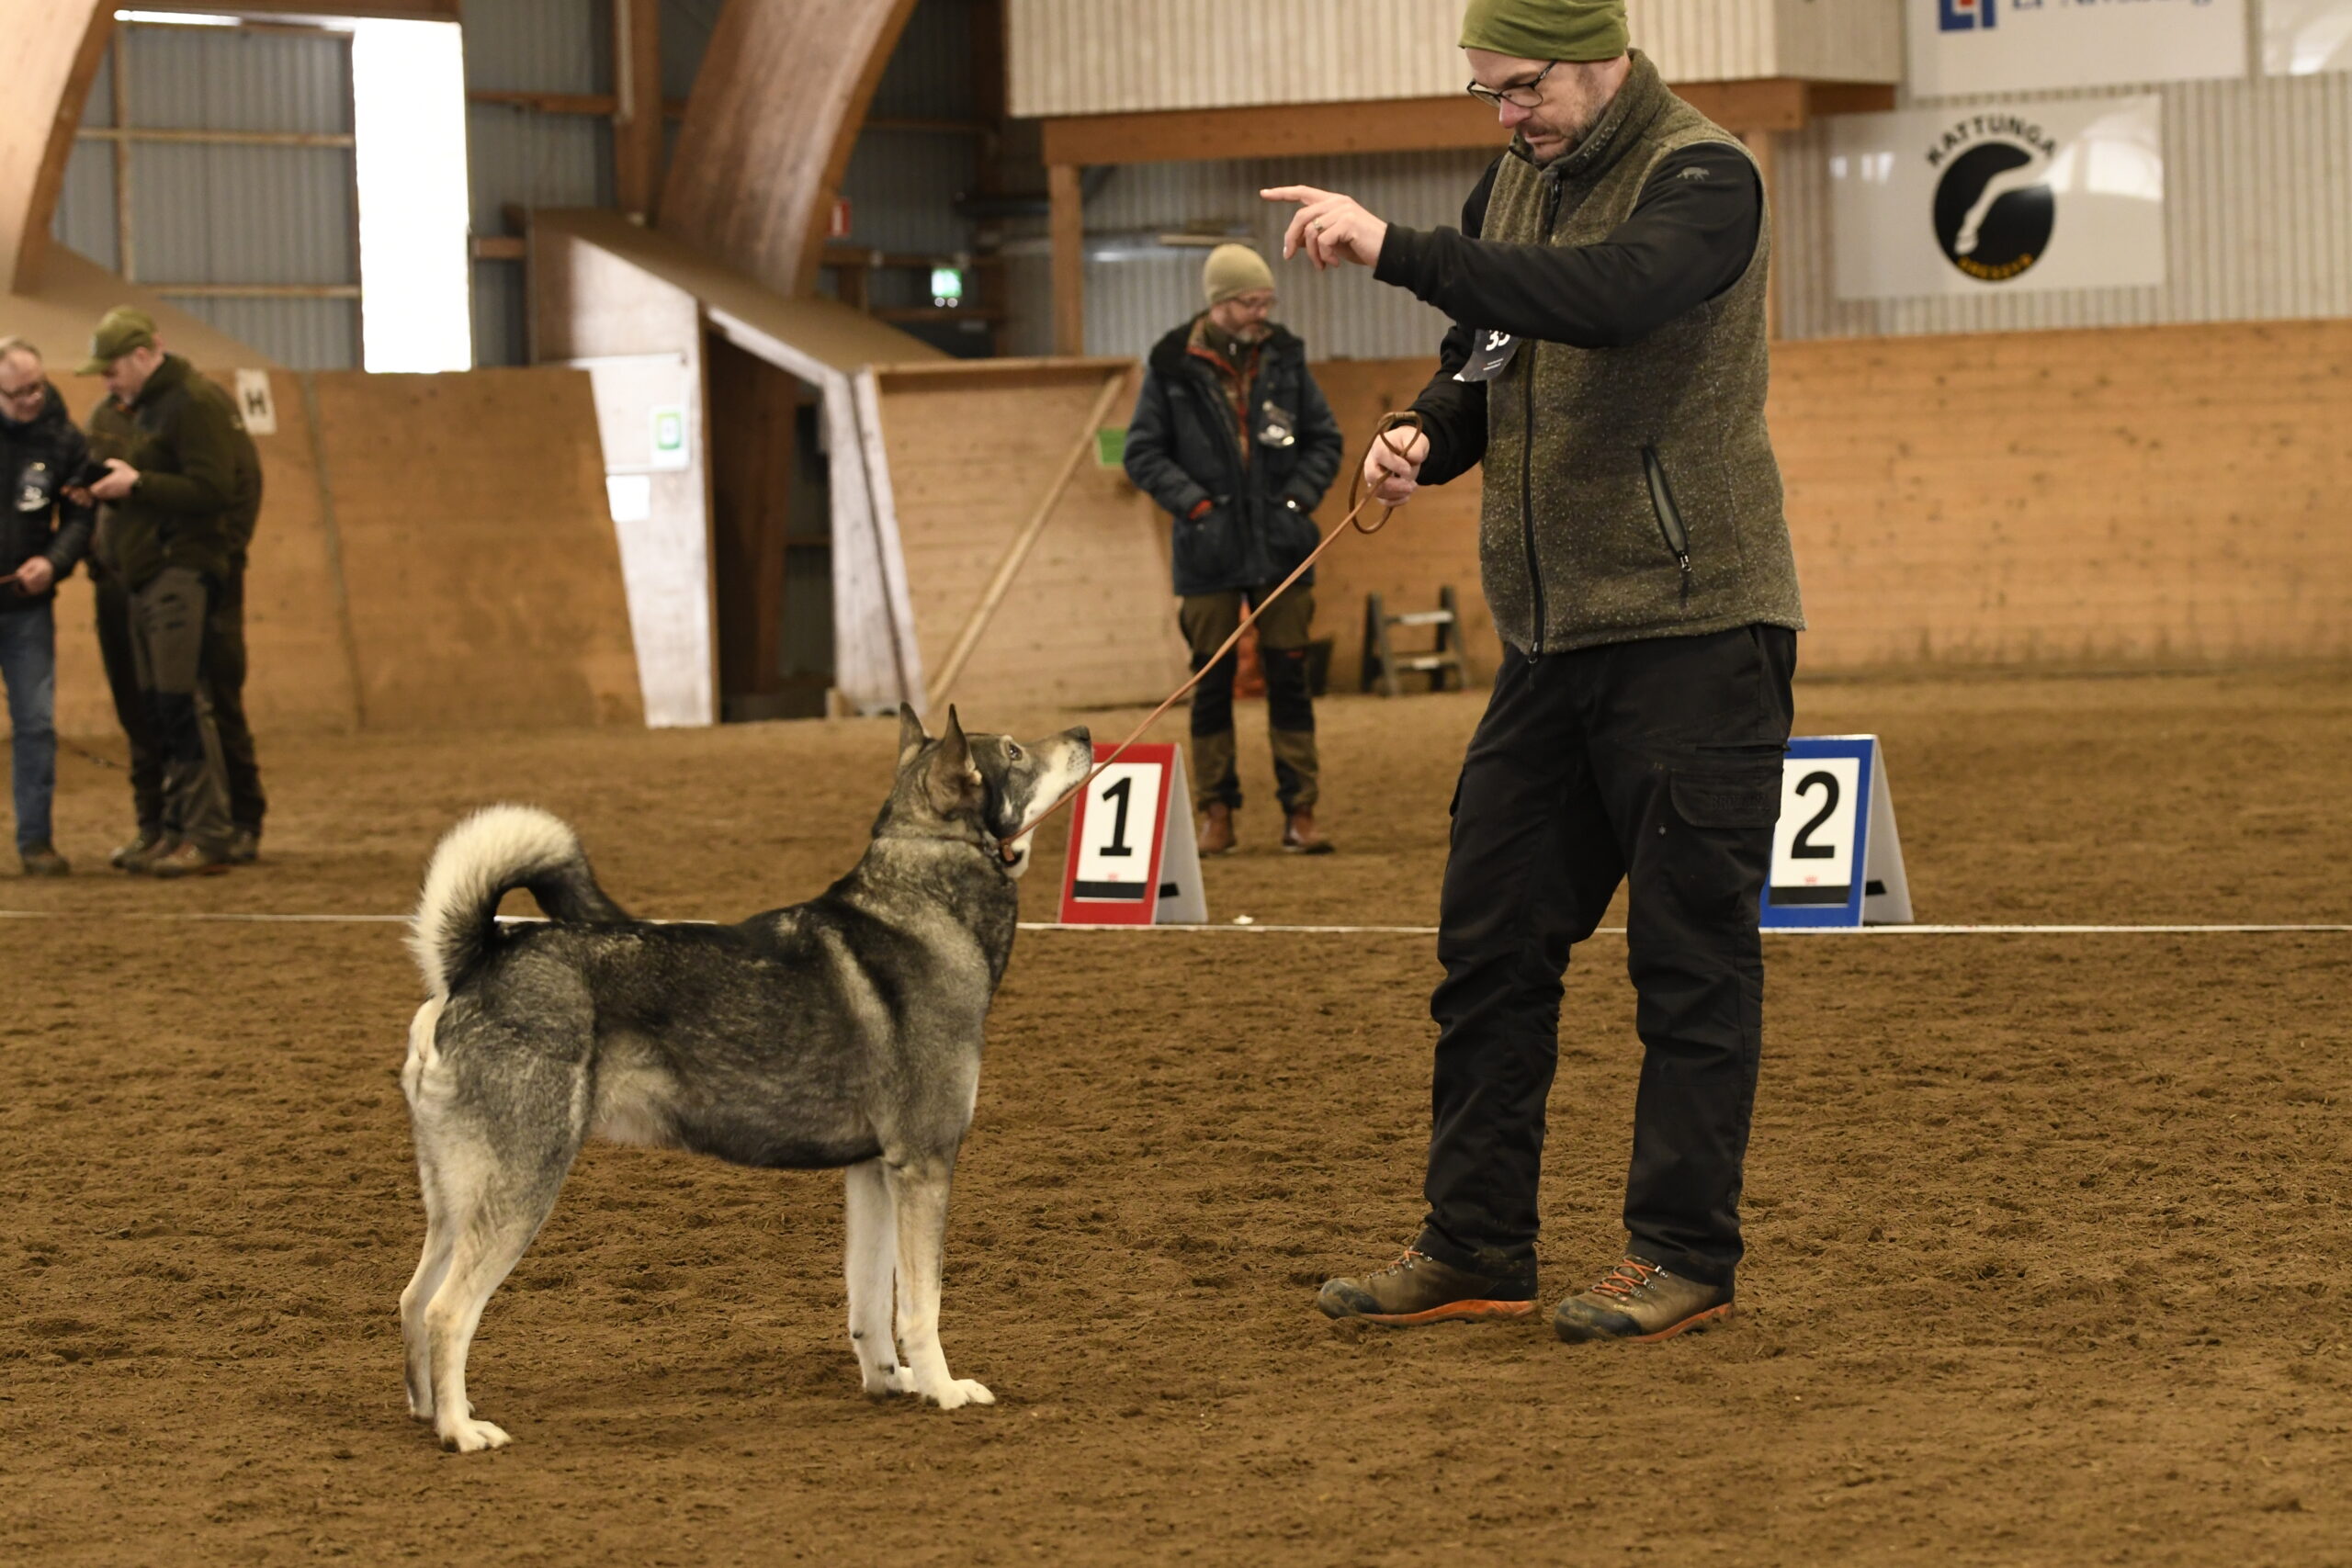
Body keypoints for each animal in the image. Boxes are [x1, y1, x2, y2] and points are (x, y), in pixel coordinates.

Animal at [396, 705, 1092, 1451]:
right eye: (1015, 751)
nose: (1084, 733)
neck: (922, 900)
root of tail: (473, 966)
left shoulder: (874, 1172)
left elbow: (870, 1301)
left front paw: (889, 1382)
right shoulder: (925, 1166)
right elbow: (921, 1305)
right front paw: (943, 1388)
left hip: (458, 1198)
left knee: (412, 1297)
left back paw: (427, 1411)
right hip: (522, 1185)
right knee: (447, 1311)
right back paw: (460, 1430)